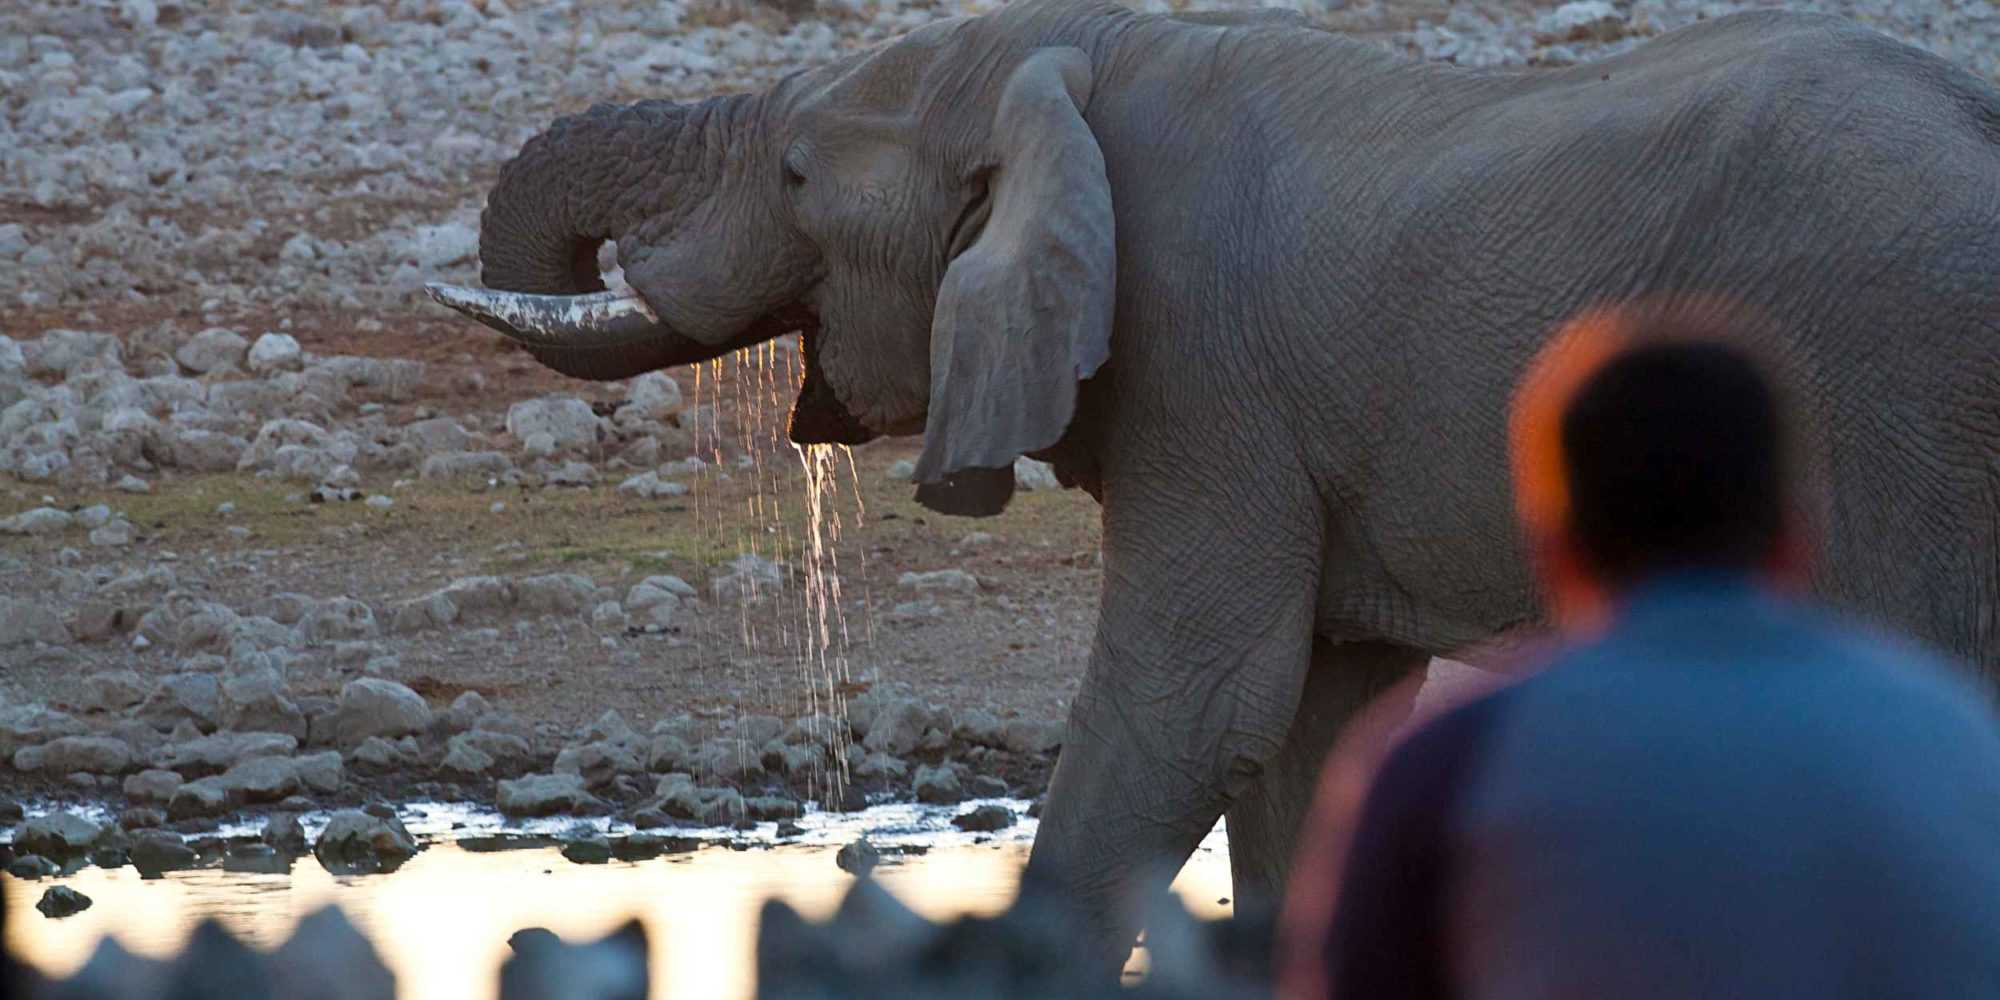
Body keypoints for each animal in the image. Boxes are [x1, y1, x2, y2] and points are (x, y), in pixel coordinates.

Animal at [426, 0, 2000, 968]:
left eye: (801, 176)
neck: (1078, 53)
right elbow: (1312, 730)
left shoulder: (1207, 382)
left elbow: (1190, 711)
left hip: (1888, 400)